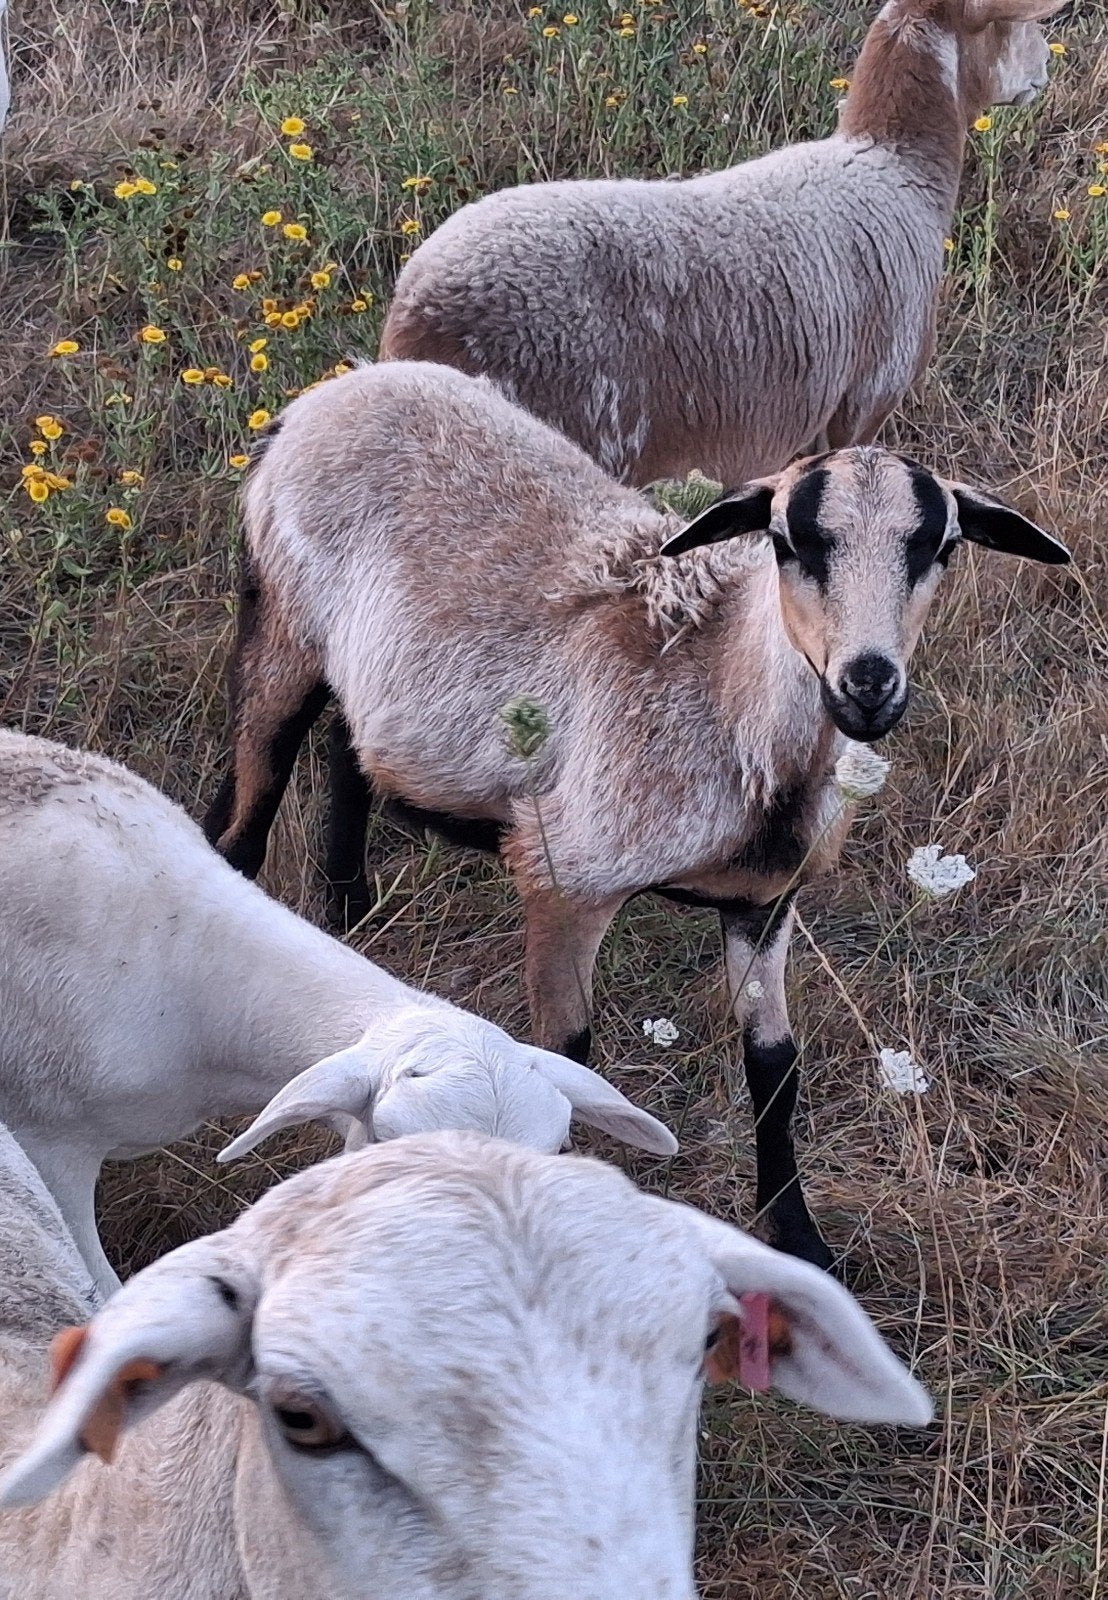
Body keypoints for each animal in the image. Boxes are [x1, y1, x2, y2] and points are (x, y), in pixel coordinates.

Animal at [205, 360, 1070, 1269]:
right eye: (789, 541)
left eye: (938, 546)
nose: (868, 684)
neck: (725, 699)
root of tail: (330, 393)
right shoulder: (567, 878)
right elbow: (568, 1056)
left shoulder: (765, 901)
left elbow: (776, 1064)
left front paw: (799, 1237)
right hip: (280, 621)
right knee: (246, 817)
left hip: (372, 676)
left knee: (348, 747)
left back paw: (348, 904)